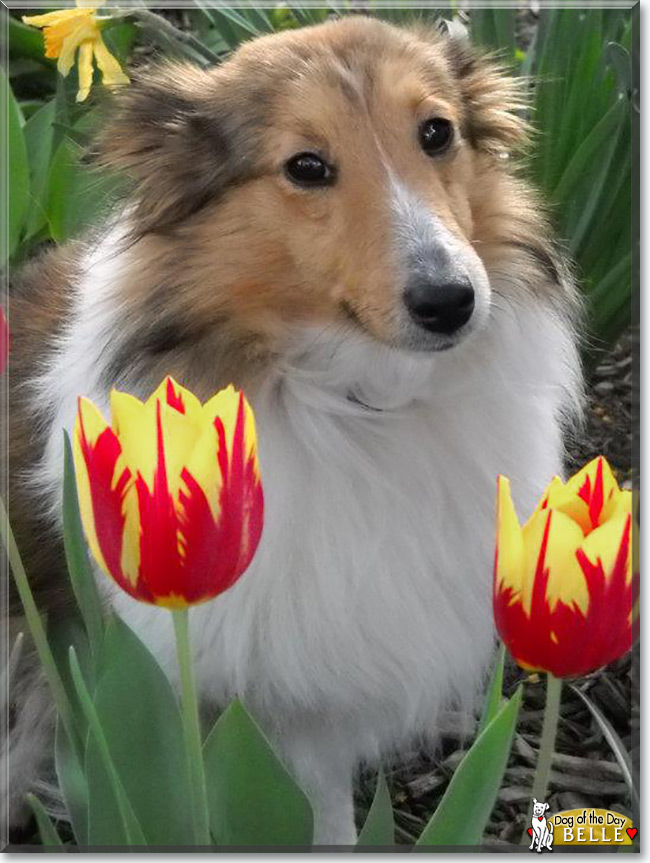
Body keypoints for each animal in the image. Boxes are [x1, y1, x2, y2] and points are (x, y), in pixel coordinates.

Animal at [7, 16, 580, 848]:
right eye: (306, 166)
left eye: (436, 132)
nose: (450, 301)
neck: (350, 401)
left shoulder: (321, 703)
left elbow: (327, 813)